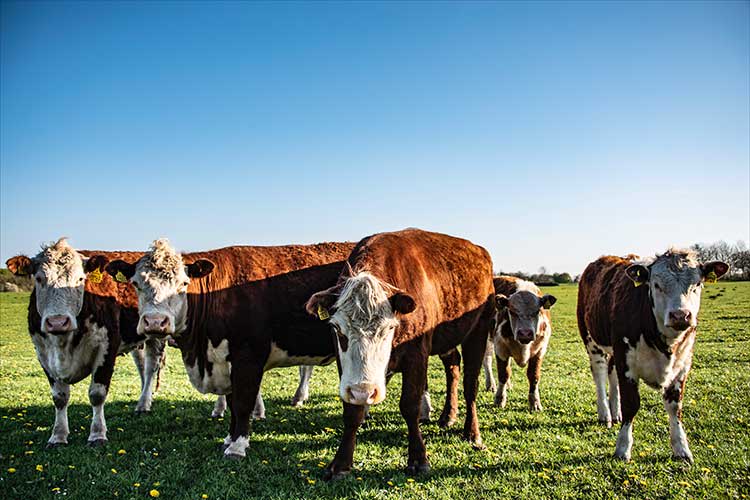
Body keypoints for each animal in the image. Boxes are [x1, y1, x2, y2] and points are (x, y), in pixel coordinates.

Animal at [100, 238, 356, 459]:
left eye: (183, 284)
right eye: (136, 284)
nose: (155, 322)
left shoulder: (248, 357)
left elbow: (242, 403)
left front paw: (238, 447)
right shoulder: (226, 361)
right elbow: (232, 402)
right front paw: (229, 439)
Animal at [305, 228, 495, 478]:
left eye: (389, 328)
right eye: (337, 328)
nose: (365, 391)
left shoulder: (417, 355)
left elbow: (410, 405)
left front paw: (418, 458)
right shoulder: (345, 367)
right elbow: (352, 411)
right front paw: (341, 463)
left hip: (479, 330)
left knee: (470, 384)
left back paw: (472, 432)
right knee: (453, 366)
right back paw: (448, 415)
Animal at [483, 276, 556, 411]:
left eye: (537, 311)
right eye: (511, 311)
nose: (525, 333)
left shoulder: (540, 350)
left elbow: (534, 376)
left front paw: (535, 402)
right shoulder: (500, 348)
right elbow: (503, 374)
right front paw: (499, 399)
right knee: (488, 361)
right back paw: (491, 385)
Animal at [577, 248, 729, 462]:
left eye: (697, 284)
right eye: (656, 285)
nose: (680, 315)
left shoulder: (682, 365)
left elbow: (675, 406)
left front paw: (681, 448)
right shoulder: (627, 361)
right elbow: (631, 404)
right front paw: (623, 448)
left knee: (612, 374)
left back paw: (615, 412)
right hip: (592, 340)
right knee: (599, 374)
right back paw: (605, 413)